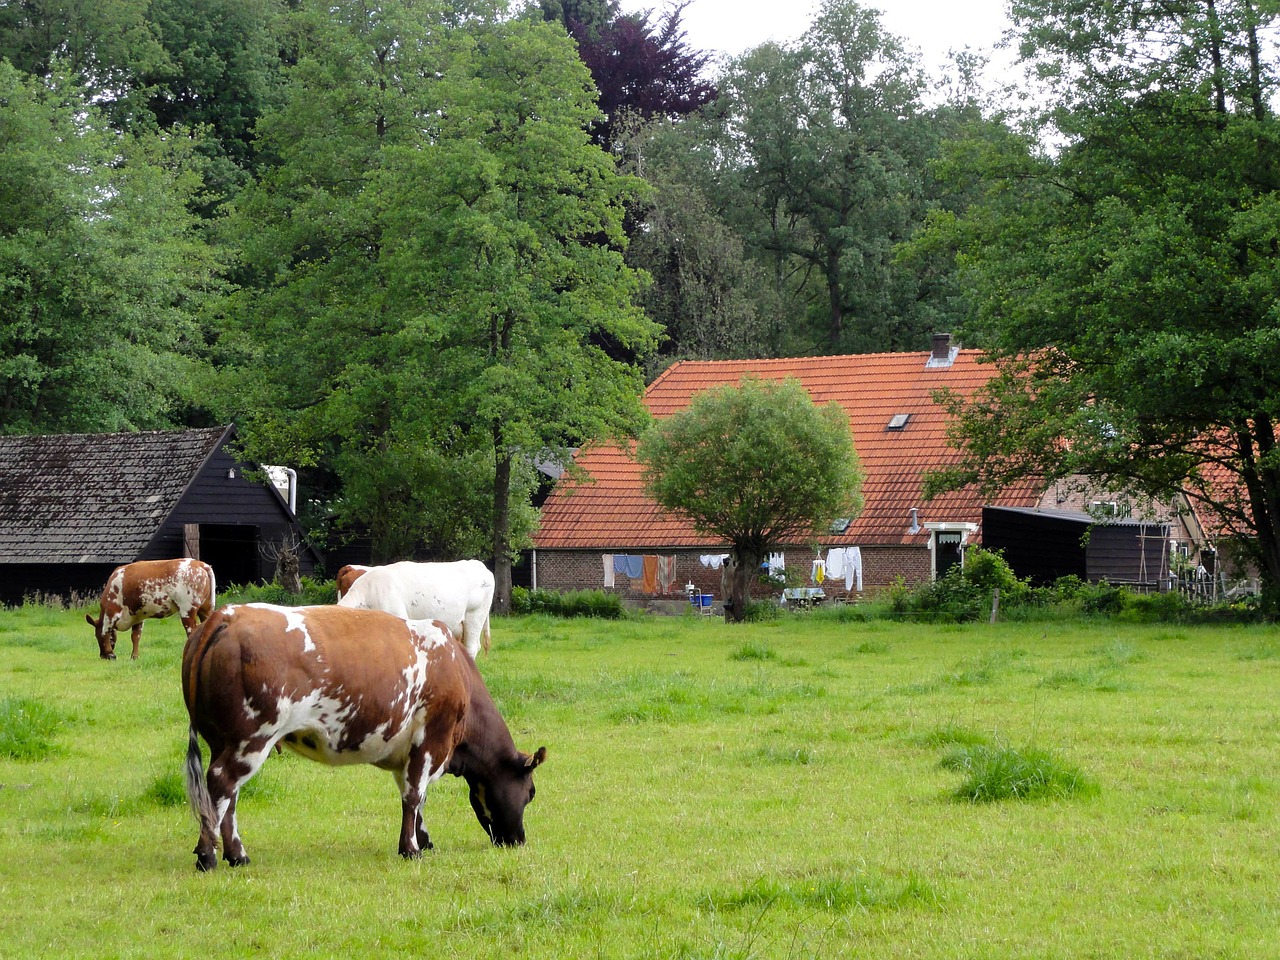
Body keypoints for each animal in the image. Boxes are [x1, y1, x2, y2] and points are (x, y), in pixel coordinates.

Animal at [86, 555, 215, 660]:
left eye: (95, 636)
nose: (102, 656)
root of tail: (200, 564)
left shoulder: (111, 612)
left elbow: (105, 632)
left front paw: (110, 654)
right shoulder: (138, 615)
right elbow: (136, 636)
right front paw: (134, 657)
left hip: (187, 610)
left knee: (192, 630)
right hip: (206, 609)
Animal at [181, 609, 545, 870]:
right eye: (530, 793)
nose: (518, 840)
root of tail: (228, 615)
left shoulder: (409, 751)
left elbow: (417, 798)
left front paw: (423, 840)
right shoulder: (432, 739)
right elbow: (414, 796)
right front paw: (411, 849)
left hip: (224, 741)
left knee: (227, 796)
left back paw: (235, 855)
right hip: (252, 738)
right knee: (222, 784)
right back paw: (209, 855)